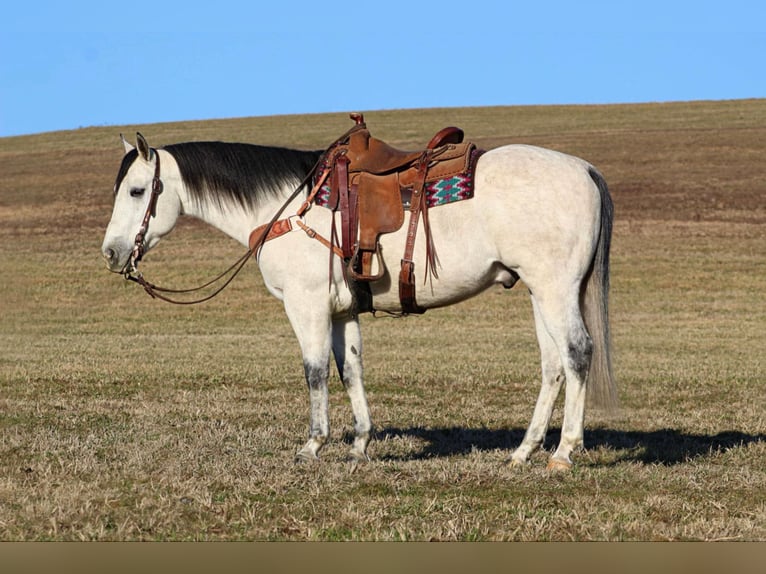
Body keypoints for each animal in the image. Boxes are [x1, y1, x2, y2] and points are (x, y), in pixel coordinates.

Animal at [102, 127, 616, 472]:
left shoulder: (305, 305)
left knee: (577, 353)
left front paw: (312, 445)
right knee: (553, 366)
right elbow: (350, 369)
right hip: (539, 291)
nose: (111, 253)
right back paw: (523, 451)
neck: (289, 207)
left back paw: (564, 452)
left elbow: (314, 372)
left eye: (138, 190)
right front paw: (360, 444)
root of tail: (585, 170)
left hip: (554, 289)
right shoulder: (341, 311)